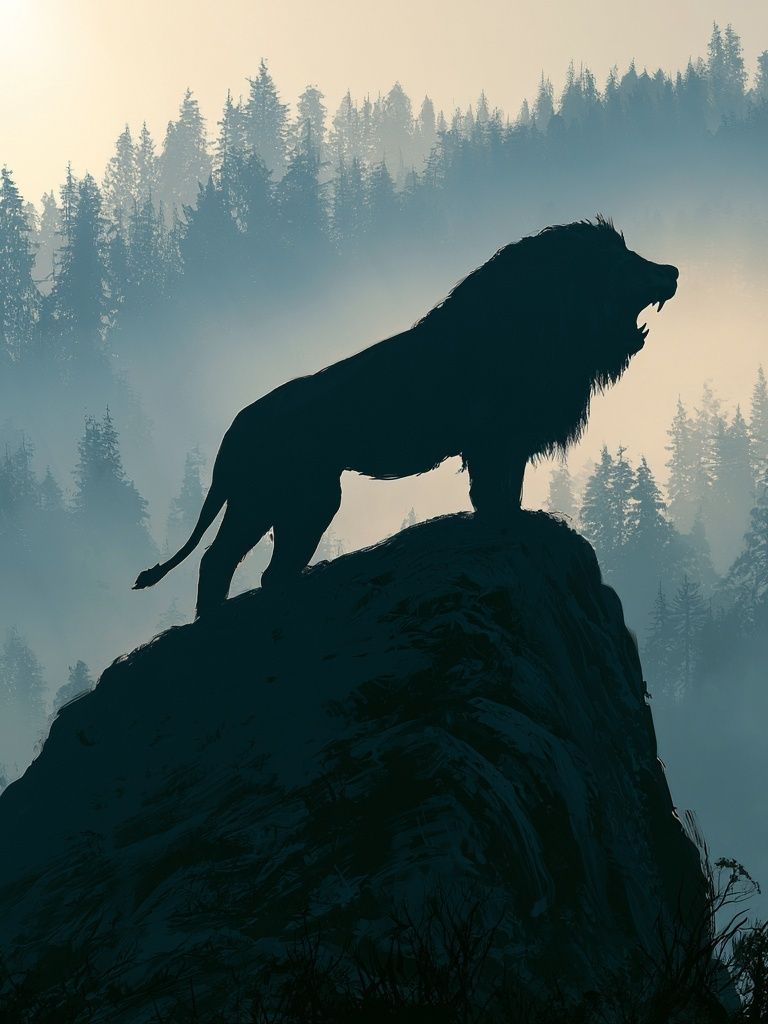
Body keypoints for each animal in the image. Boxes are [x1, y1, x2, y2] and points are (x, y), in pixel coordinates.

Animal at [134, 216, 678, 617]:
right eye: (621, 260)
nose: (672, 271)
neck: (549, 325)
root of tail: (236, 427)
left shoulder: (511, 442)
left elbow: (510, 493)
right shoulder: (491, 440)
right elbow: (491, 496)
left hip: (299, 501)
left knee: (263, 570)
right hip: (274, 497)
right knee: (217, 561)